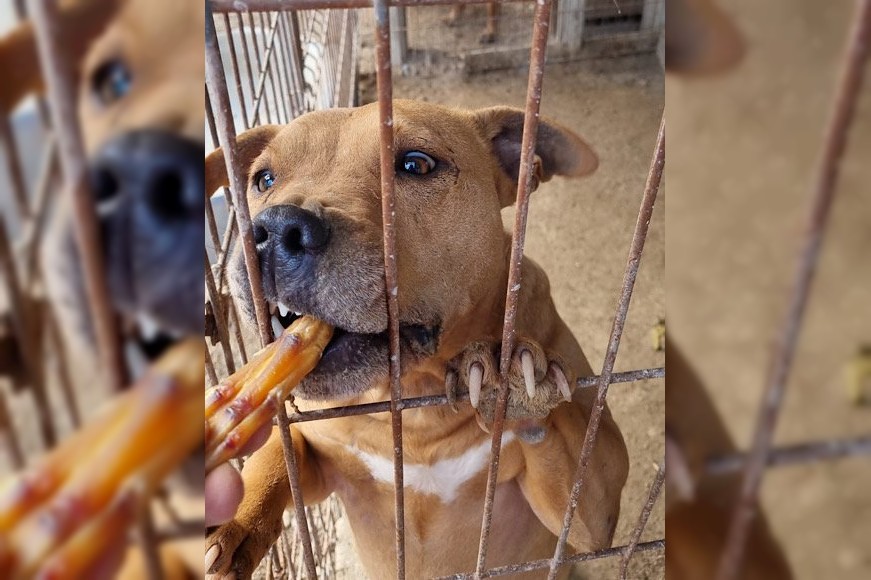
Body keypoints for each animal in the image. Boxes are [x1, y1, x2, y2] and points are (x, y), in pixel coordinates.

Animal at [203, 102, 628, 576]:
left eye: (416, 165)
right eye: (263, 179)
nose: (276, 230)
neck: (416, 406)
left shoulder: (592, 512)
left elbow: (579, 477)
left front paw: (516, 378)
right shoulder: (317, 460)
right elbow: (275, 454)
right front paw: (233, 518)